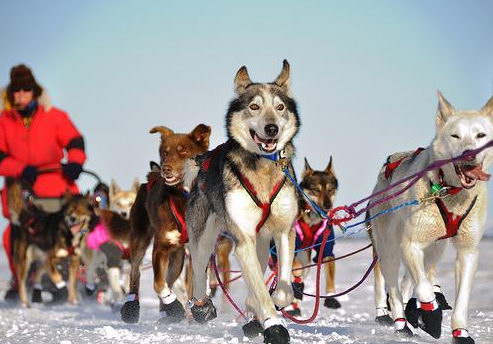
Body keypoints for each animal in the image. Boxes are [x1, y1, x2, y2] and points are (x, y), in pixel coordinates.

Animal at [121, 123, 211, 322]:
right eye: (164, 152)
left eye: (183, 151)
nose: (165, 169)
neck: (184, 198)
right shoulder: (161, 246)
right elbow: (158, 284)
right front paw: (173, 304)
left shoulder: (198, 248)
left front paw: (199, 309)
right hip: (140, 239)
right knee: (136, 271)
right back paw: (134, 308)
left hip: (178, 257)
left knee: (171, 279)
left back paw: (168, 313)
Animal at [184, 59, 300, 344]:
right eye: (254, 106)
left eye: (280, 107)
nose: (272, 128)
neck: (263, 166)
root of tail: (203, 160)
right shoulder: (243, 238)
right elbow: (259, 288)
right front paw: (273, 324)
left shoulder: (284, 231)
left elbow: (283, 288)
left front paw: (272, 303)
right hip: (204, 236)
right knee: (199, 269)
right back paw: (201, 307)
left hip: (262, 241)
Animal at [368, 92, 492, 344]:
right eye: (455, 135)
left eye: (480, 135)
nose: (469, 154)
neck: (448, 191)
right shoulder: (411, 244)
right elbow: (424, 289)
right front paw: (431, 316)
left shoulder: (468, 251)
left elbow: (461, 298)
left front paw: (460, 333)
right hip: (390, 249)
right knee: (394, 287)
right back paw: (401, 322)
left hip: (434, 249)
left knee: (410, 281)